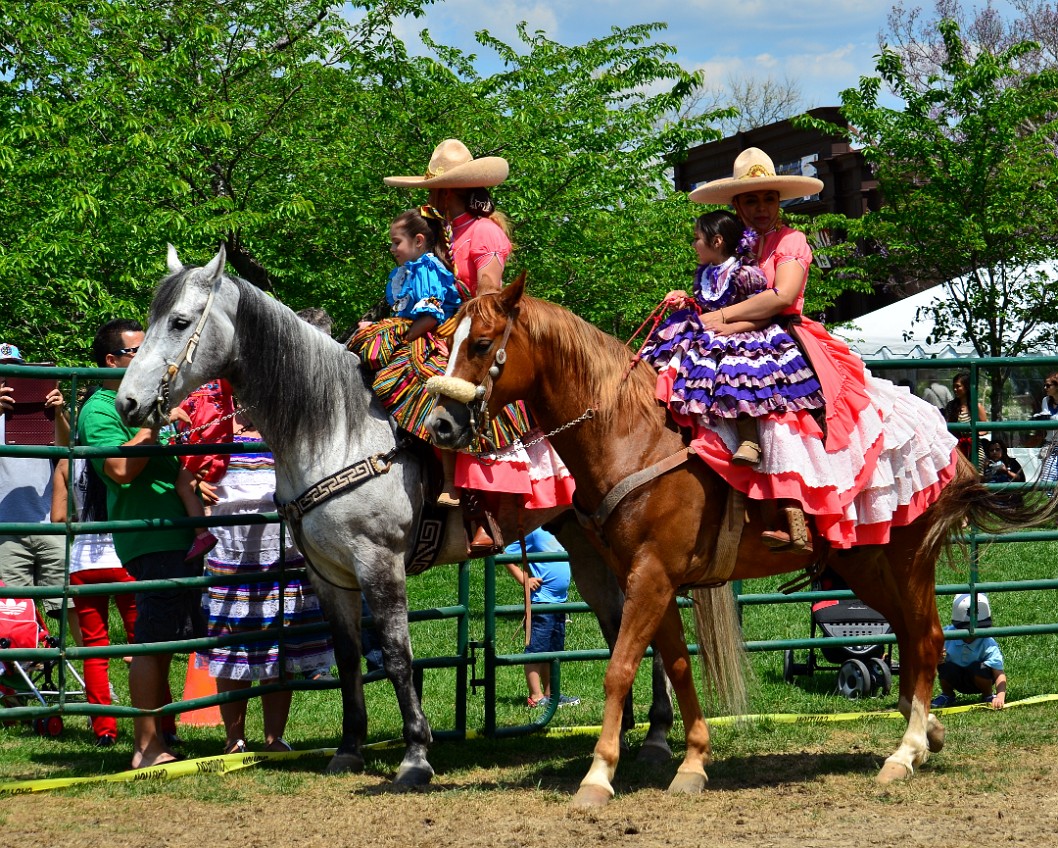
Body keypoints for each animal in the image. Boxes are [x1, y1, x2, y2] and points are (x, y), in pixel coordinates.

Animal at [115, 246, 672, 786]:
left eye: (181, 321)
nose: (128, 403)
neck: (335, 429)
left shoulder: (379, 563)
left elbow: (399, 657)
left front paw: (416, 756)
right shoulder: (328, 574)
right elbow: (347, 659)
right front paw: (348, 749)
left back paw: (658, 737)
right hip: (584, 541)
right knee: (620, 620)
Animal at [425, 274, 1053, 807]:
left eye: (481, 343)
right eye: (447, 341)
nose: (441, 426)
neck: (633, 434)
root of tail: (949, 447)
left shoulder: (650, 577)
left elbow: (621, 668)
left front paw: (598, 777)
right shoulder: (650, 578)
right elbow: (678, 665)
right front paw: (691, 764)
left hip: (906, 560)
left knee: (926, 639)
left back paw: (905, 753)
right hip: (864, 566)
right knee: (909, 638)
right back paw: (927, 734)